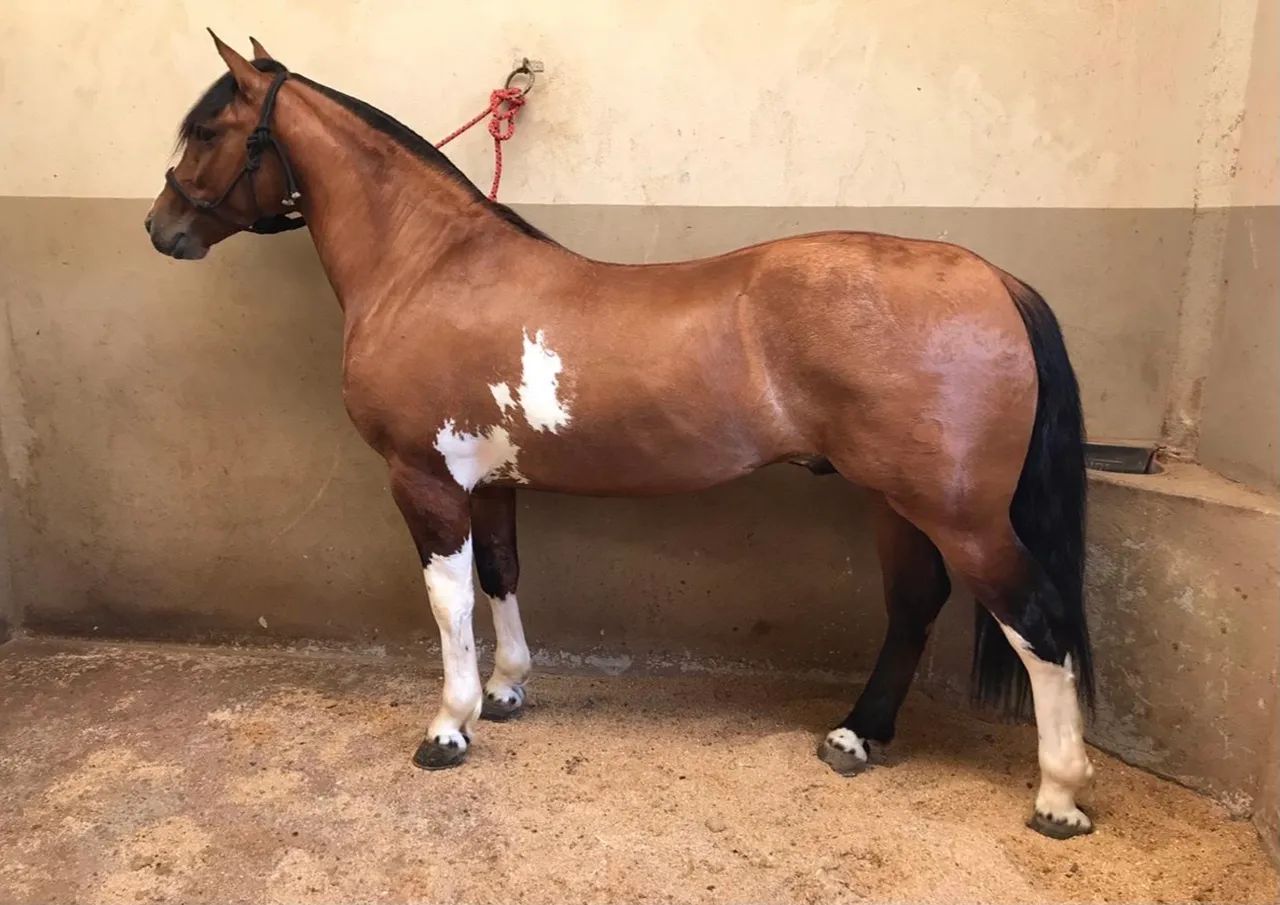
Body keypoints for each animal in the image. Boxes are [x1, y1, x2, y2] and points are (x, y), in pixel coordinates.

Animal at [145, 33, 1097, 839]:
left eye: (210, 130)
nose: (162, 228)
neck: (429, 268)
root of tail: (991, 277)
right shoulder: (491, 481)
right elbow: (502, 574)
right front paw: (507, 688)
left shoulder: (424, 478)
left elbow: (449, 600)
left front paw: (450, 725)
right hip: (896, 499)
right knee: (914, 605)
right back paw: (856, 736)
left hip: (959, 513)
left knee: (1037, 619)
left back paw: (1058, 794)